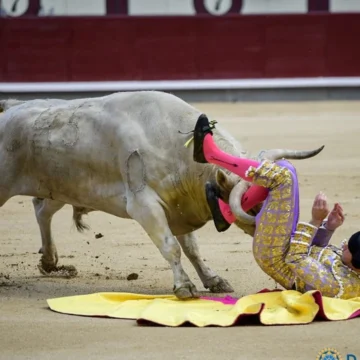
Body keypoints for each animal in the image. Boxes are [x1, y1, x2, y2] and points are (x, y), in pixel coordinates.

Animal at [0, 91, 324, 300]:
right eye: (254, 206)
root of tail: (11, 108)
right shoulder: (145, 206)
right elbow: (172, 247)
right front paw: (184, 287)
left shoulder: (179, 206)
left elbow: (192, 249)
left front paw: (213, 279)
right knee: (40, 209)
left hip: (61, 186)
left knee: (42, 210)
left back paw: (49, 261)